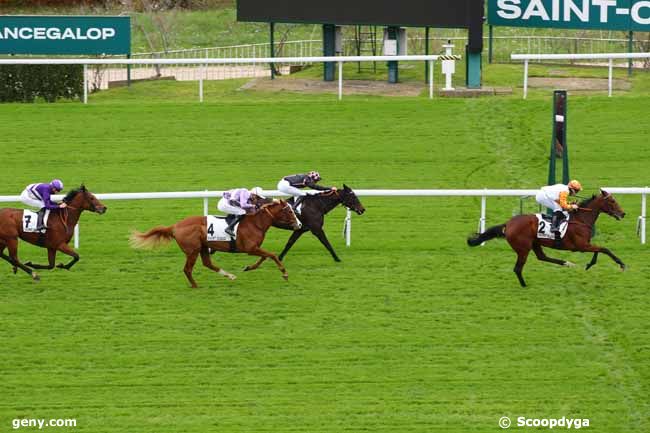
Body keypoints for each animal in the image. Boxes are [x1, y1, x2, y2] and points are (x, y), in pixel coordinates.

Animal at [132, 200, 304, 288]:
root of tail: (174, 226)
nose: (300, 224)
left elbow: (265, 257)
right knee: (187, 269)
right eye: (289, 211)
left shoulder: (254, 248)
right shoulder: (250, 248)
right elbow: (272, 255)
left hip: (203, 247)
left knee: (207, 263)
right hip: (193, 250)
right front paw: (284, 273)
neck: (256, 223)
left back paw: (230, 276)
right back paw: (195, 285)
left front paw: (249, 267)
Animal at [468, 190, 624, 286]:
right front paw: (621, 264)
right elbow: (604, 249)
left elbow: (599, 250)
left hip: (535, 243)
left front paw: (589, 264)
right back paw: (524, 285)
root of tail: (508, 223)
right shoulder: (581, 246)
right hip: (523, 248)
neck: (581, 219)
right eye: (612, 201)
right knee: (518, 268)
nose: (623, 214)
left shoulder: (585, 245)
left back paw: (567, 263)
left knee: (542, 257)